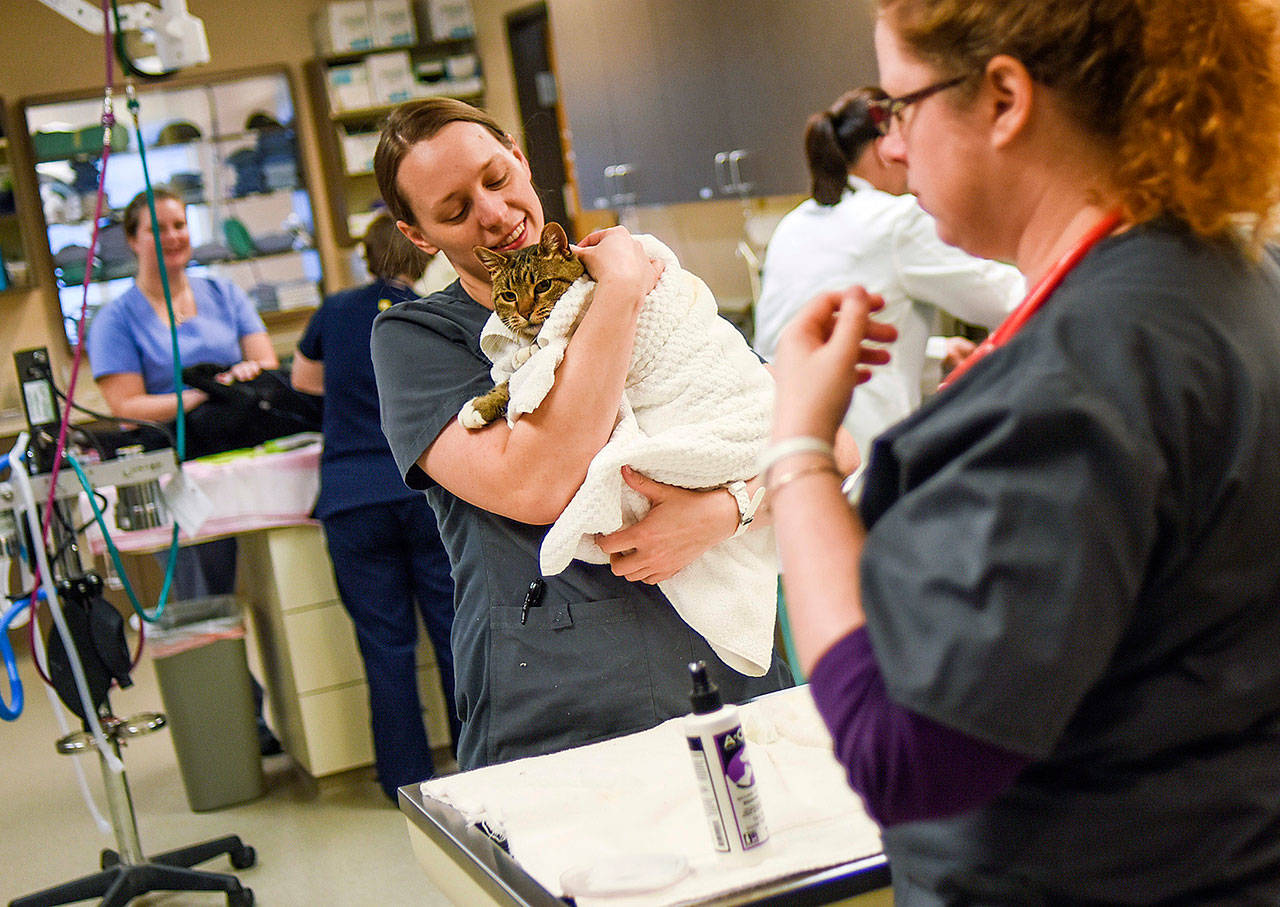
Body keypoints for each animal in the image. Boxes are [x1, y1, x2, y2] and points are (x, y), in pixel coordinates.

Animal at [478, 234, 773, 670]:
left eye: (543, 286)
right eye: (509, 295)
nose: (526, 312)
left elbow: (533, 364)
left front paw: (504, 379)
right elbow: (518, 372)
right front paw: (500, 381)